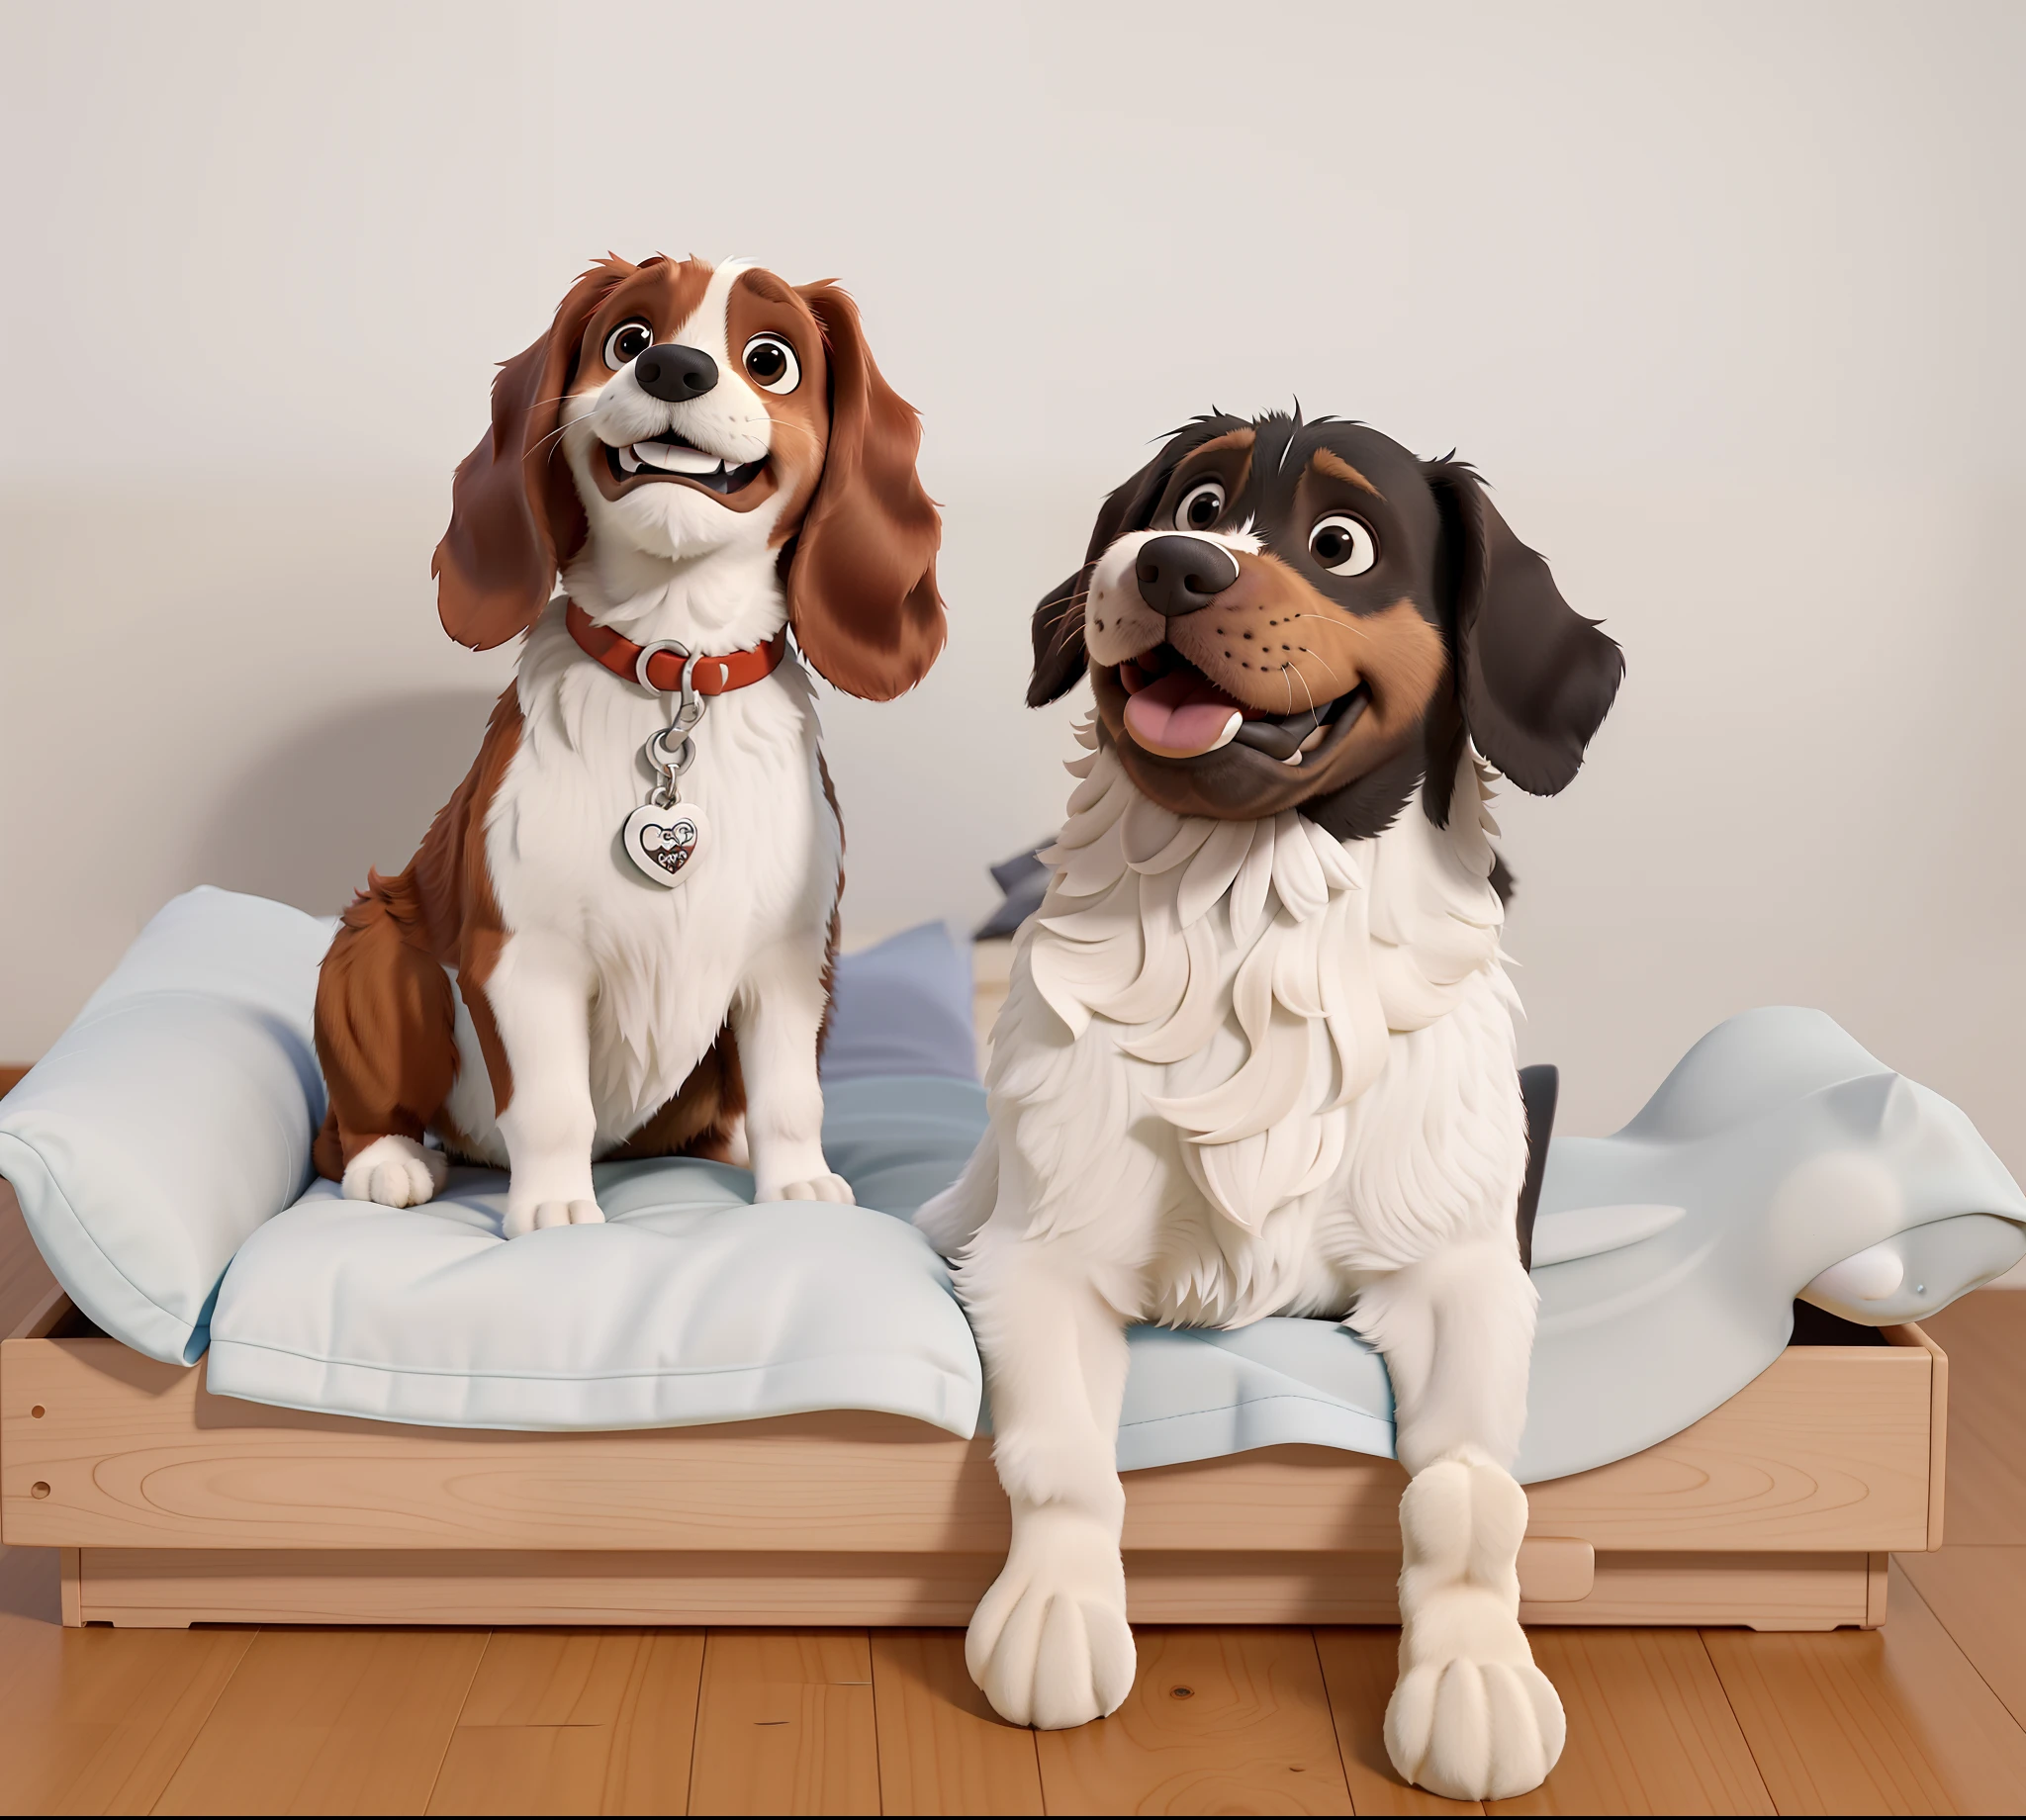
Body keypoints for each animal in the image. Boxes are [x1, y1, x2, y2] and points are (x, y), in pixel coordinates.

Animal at [312, 255, 944, 1231]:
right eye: (628, 337)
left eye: (772, 359)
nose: (673, 367)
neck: (673, 661)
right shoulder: (523, 955)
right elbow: (552, 1105)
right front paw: (554, 1210)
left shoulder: (789, 962)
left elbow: (791, 1095)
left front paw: (797, 1187)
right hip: (373, 941)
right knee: (354, 1122)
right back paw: (389, 1160)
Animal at [919, 415, 1612, 1799]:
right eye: (1194, 500)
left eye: (1339, 542)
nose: (1172, 563)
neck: (1250, 904)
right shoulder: (1038, 1257)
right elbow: (1060, 1455)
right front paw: (1054, 1612)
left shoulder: (1460, 1276)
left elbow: (1470, 1492)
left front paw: (1473, 1673)